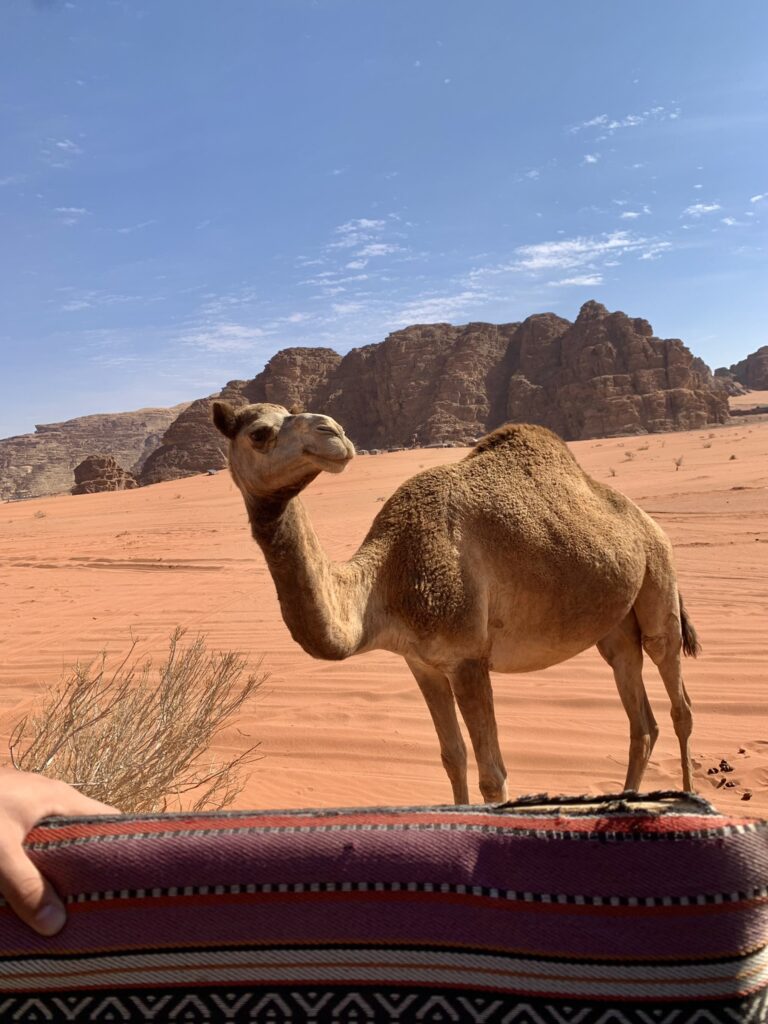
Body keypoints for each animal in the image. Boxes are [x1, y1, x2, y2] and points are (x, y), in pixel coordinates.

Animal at [212, 400, 698, 804]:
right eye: (259, 432)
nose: (332, 431)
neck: (387, 580)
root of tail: (646, 521)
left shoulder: (468, 657)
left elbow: (493, 776)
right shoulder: (422, 663)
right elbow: (453, 758)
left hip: (659, 576)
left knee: (678, 700)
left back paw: (688, 796)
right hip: (614, 623)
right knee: (641, 717)